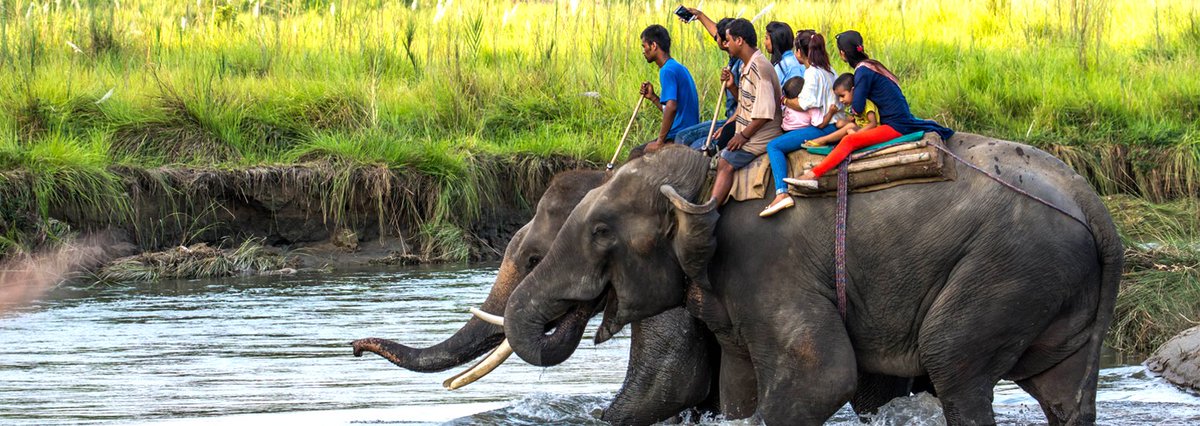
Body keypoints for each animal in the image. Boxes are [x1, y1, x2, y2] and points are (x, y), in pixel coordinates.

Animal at [502, 134, 1124, 425]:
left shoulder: (766, 264)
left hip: (1006, 273)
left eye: (602, 231)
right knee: (1063, 394)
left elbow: (821, 376)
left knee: (954, 365)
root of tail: (1092, 202)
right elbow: (740, 387)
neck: (708, 169)